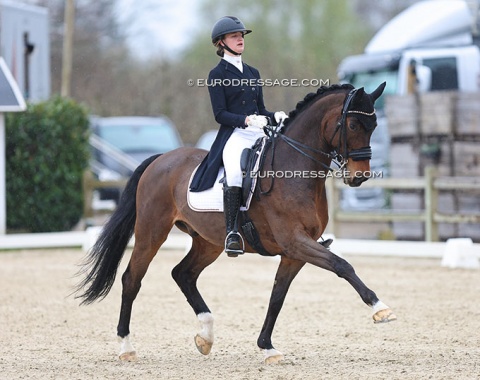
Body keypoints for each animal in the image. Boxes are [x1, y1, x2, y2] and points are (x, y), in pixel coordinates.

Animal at [76, 82, 398, 362]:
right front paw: (380, 308)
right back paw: (126, 347)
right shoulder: (295, 241)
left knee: (183, 274)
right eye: (353, 125)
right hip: (151, 232)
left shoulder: (294, 252)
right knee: (132, 279)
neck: (294, 170)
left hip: (208, 242)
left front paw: (267, 347)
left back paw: (205, 336)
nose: (359, 177)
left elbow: (277, 296)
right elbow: (342, 265)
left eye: (374, 126)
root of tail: (160, 159)